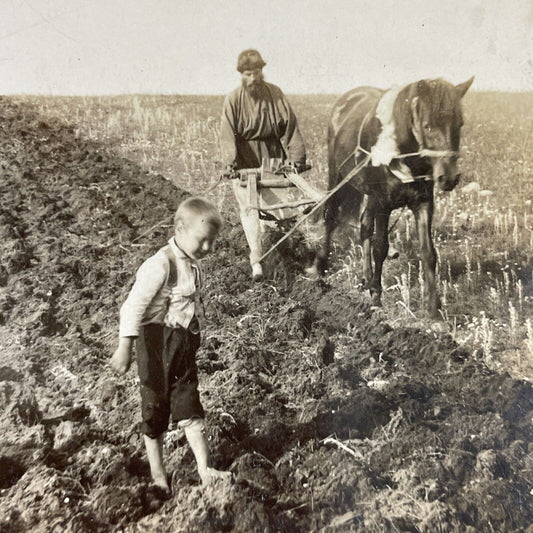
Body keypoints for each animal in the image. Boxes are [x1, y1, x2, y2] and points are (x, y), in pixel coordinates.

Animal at [312, 74, 474, 316]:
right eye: (427, 125)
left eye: (460, 124)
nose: (449, 178)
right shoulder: (383, 203)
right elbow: (380, 247)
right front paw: (377, 298)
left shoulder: (423, 203)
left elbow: (428, 252)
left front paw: (433, 309)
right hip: (337, 176)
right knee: (331, 217)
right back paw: (322, 266)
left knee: (364, 226)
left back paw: (366, 278)